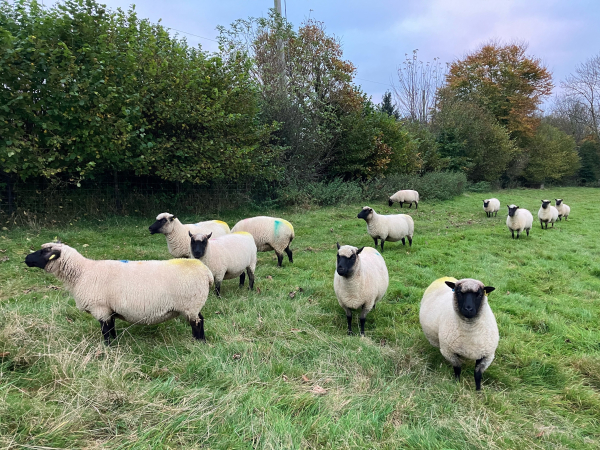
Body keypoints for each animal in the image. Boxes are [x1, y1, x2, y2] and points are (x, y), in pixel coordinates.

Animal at [24, 243, 216, 344]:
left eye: (44, 251)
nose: (26, 259)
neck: (82, 273)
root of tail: (207, 272)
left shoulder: (100, 308)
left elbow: (105, 331)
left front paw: (108, 348)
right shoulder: (109, 310)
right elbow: (111, 328)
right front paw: (115, 345)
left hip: (191, 304)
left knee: (197, 322)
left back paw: (198, 341)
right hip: (193, 305)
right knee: (200, 319)